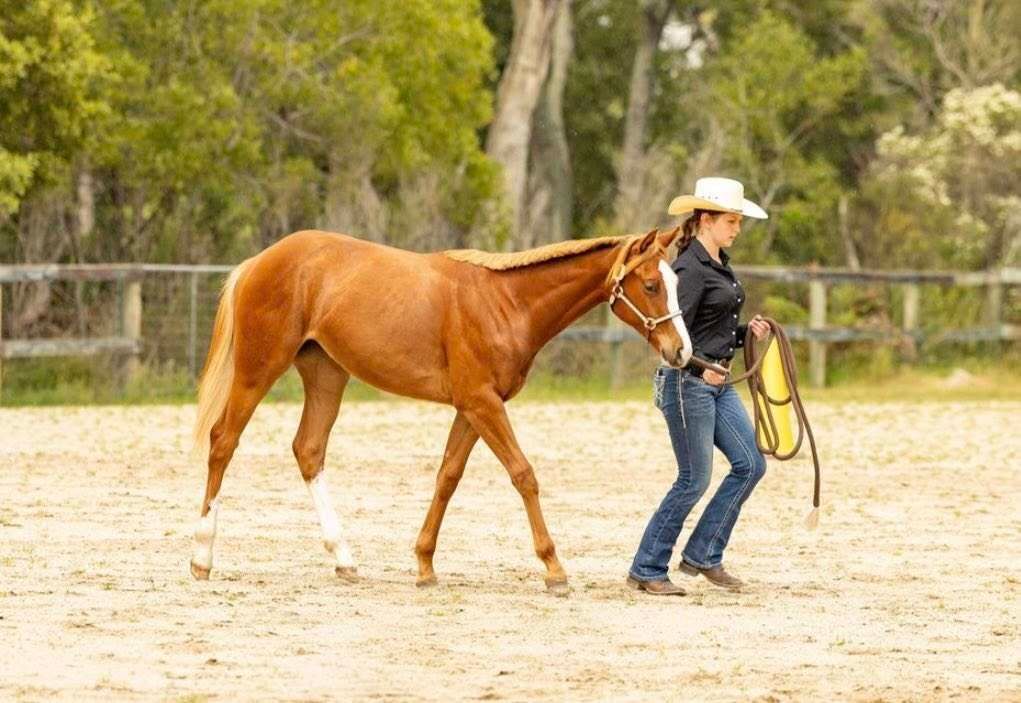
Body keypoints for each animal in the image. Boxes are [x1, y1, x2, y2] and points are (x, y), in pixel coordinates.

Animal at [189, 226, 690, 594]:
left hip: (326, 375)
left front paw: (425, 564)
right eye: (651, 285)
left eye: (676, 283)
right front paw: (554, 569)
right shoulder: (483, 404)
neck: (506, 303)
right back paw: (202, 558)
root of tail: (257, 262)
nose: (682, 352)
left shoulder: (472, 408)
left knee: (309, 450)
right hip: (258, 370)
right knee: (223, 441)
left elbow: (447, 477)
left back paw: (344, 559)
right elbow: (523, 474)